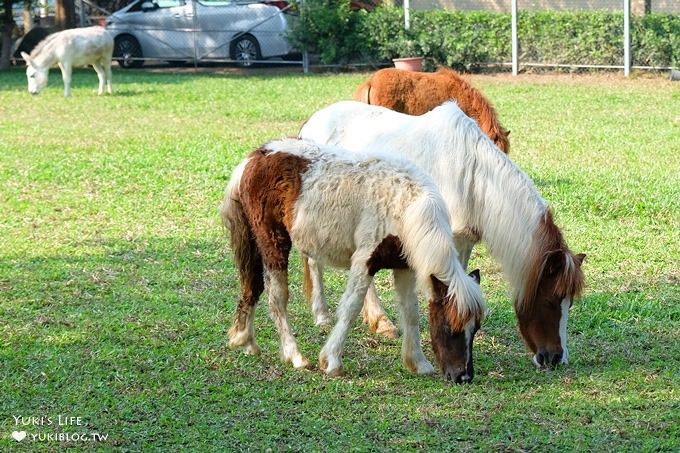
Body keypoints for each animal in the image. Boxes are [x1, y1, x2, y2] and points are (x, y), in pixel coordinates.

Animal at [220, 139, 486, 382]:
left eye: (475, 329)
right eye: (451, 327)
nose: (463, 377)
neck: (407, 206)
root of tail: (254, 158)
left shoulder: (404, 267)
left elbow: (410, 311)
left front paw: (418, 363)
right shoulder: (364, 260)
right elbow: (351, 307)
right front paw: (331, 362)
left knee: (252, 286)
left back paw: (245, 340)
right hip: (273, 242)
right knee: (277, 298)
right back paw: (294, 356)